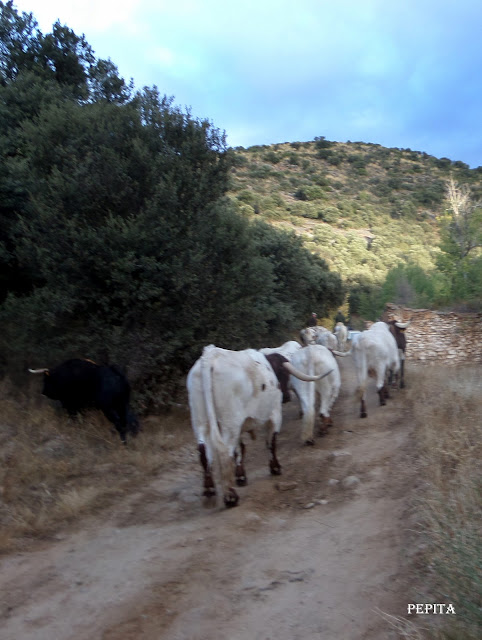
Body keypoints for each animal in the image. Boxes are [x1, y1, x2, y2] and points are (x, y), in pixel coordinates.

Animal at [186, 342, 330, 508]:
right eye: (282, 372)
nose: (286, 396)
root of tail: (210, 356)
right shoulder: (274, 414)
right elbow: (271, 442)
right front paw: (275, 467)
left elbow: (240, 448)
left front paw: (241, 476)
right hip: (230, 423)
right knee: (225, 452)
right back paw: (230, 497)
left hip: (201, 421)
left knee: (204, 451)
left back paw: (209, 490)